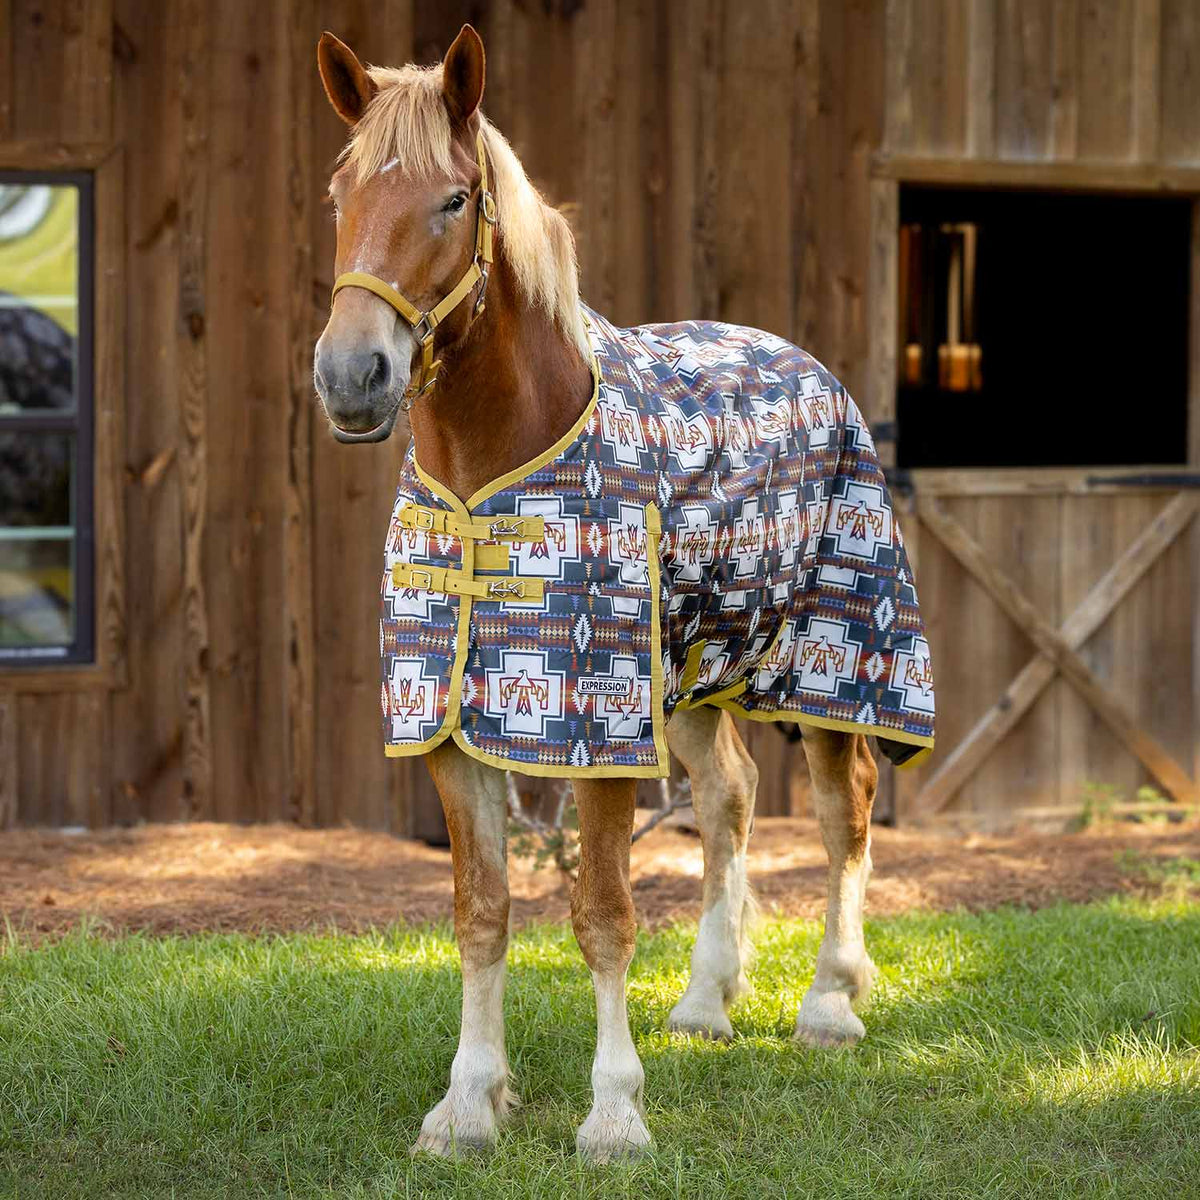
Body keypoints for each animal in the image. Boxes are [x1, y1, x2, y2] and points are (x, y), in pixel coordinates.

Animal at [313, 25, 935, 1163]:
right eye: (341, 192)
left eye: (454, 199)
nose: (352, 376)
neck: (495, 468)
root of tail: (811, 367)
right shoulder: (449, 729)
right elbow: (481, 911)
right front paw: (469, 1102)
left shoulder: (594, 730)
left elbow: (601, 914)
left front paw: (613, 1112)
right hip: (691, 682)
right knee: (731, 798)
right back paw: (704, 1001)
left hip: (830, 665)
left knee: (845, 813)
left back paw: (830, 1002)